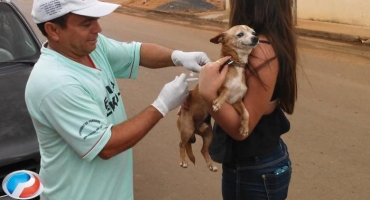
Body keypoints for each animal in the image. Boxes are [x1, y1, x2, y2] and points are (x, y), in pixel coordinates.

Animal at [177, 25, 258, 171]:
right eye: (240, 34)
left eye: (253, 32)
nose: (256, 38)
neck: (236, 63)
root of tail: (196, 130)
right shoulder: (217, 87)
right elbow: (225, 89)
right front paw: (218, 103)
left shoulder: (236, 101)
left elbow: (246, 112)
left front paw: (244, 128)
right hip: (187, 129)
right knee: (181, 144)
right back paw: (183, 161)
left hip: (209, 135)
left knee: (203, 150)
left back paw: (211, 164)